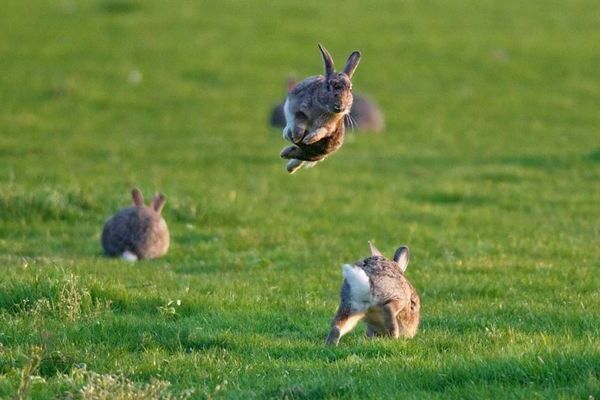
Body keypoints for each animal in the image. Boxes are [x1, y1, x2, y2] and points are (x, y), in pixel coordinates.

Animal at [278, 44, 358, 173]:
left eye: (350, 89)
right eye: (329, 86)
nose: (340, 106)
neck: (323, 108)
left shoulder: (329, 126)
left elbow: (321, 131)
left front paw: (308, 139)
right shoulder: (298, 109)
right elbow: (300, 122)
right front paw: (298, 136)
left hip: (320, 152)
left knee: (306, 155)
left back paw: (288, 159)